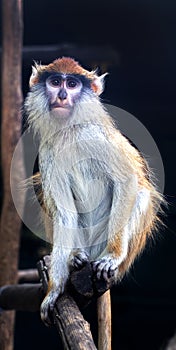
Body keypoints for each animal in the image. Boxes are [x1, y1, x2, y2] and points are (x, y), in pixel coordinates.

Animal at [23, 56, 164, 326]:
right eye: (55, 82)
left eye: (72, 84)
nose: (63, 95)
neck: (69, 130)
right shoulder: (47, 152)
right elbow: (64, 214)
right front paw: (54, 291)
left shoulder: (96, 136)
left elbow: (128, 182)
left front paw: (112, 257)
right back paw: (76, 257)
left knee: (141, 195)